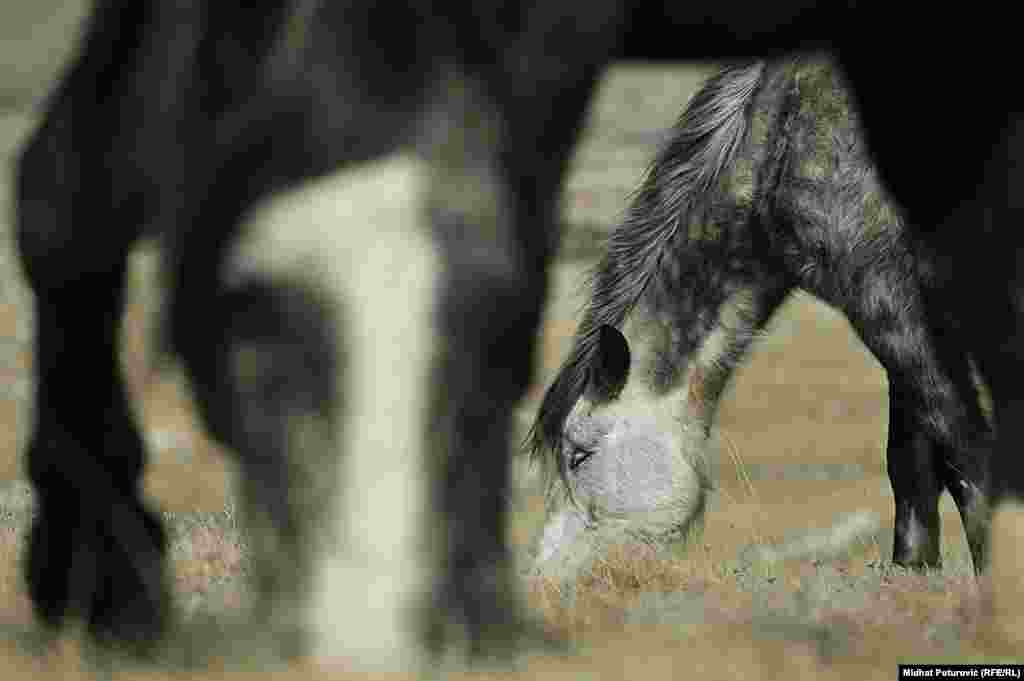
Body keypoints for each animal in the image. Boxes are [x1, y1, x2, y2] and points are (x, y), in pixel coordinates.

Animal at [528, 58, 991, 577]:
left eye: (579, 455)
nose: (545, 582)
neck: (784, 140)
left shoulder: (886, 295)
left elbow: (963, 447)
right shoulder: (915, 309)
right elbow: (913, 459)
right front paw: (914, 569)